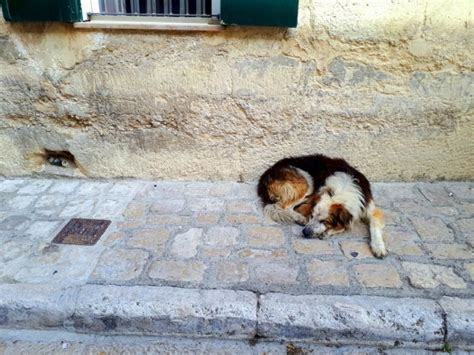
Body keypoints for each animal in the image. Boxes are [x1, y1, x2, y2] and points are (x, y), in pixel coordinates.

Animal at [258, 155, 386, 258]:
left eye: (325, 221)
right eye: (312, 215)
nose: (305, 232)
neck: (340, 191)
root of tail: (264, 176)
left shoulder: (369, 208)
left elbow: (373, 224)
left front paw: (378, 247)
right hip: (307, 180)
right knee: (281, 207)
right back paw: (299, 218)